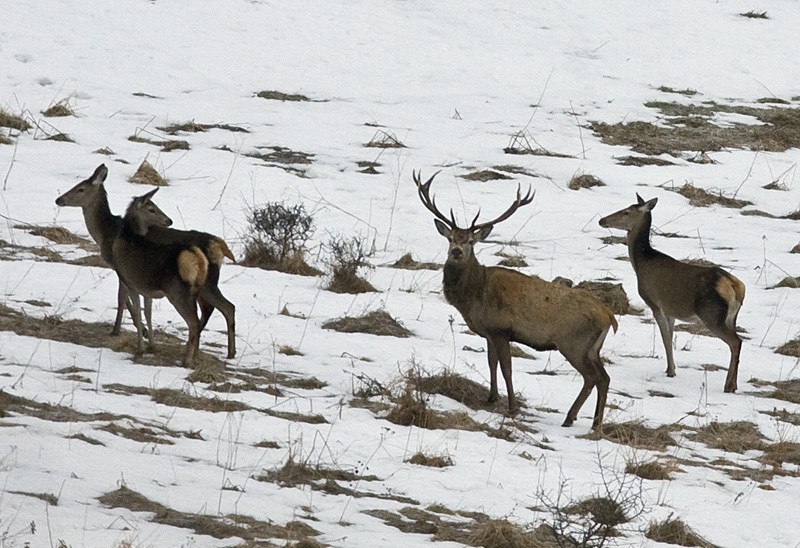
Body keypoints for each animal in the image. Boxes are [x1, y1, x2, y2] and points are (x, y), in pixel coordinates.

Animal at [416, 169, 620, 430]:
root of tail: (610, 317)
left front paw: (512, 407)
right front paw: (491, 397)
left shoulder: (502, 329)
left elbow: (507, 369)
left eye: (471, 241)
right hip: (592, 348)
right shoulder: (489, 332)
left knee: (592, 377)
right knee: (604, 377)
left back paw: (573, 418)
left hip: (573, 342)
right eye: (450, 238)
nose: (457, 252)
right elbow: (491, 362)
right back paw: (592, 423)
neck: (475, 294)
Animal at [600, 195, 744, 392]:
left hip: (712, 314)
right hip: (731, 317)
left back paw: (729, 385)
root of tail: (735, 286)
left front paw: (670, 371)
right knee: (737, 342)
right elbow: (669, 335)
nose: (602, 220)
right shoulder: (671, 310)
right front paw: (671, 368)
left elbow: (665, 339)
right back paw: (734, 384)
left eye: (626, 211)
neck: (641, 263)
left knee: (735, 342)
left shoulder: (655, 303)